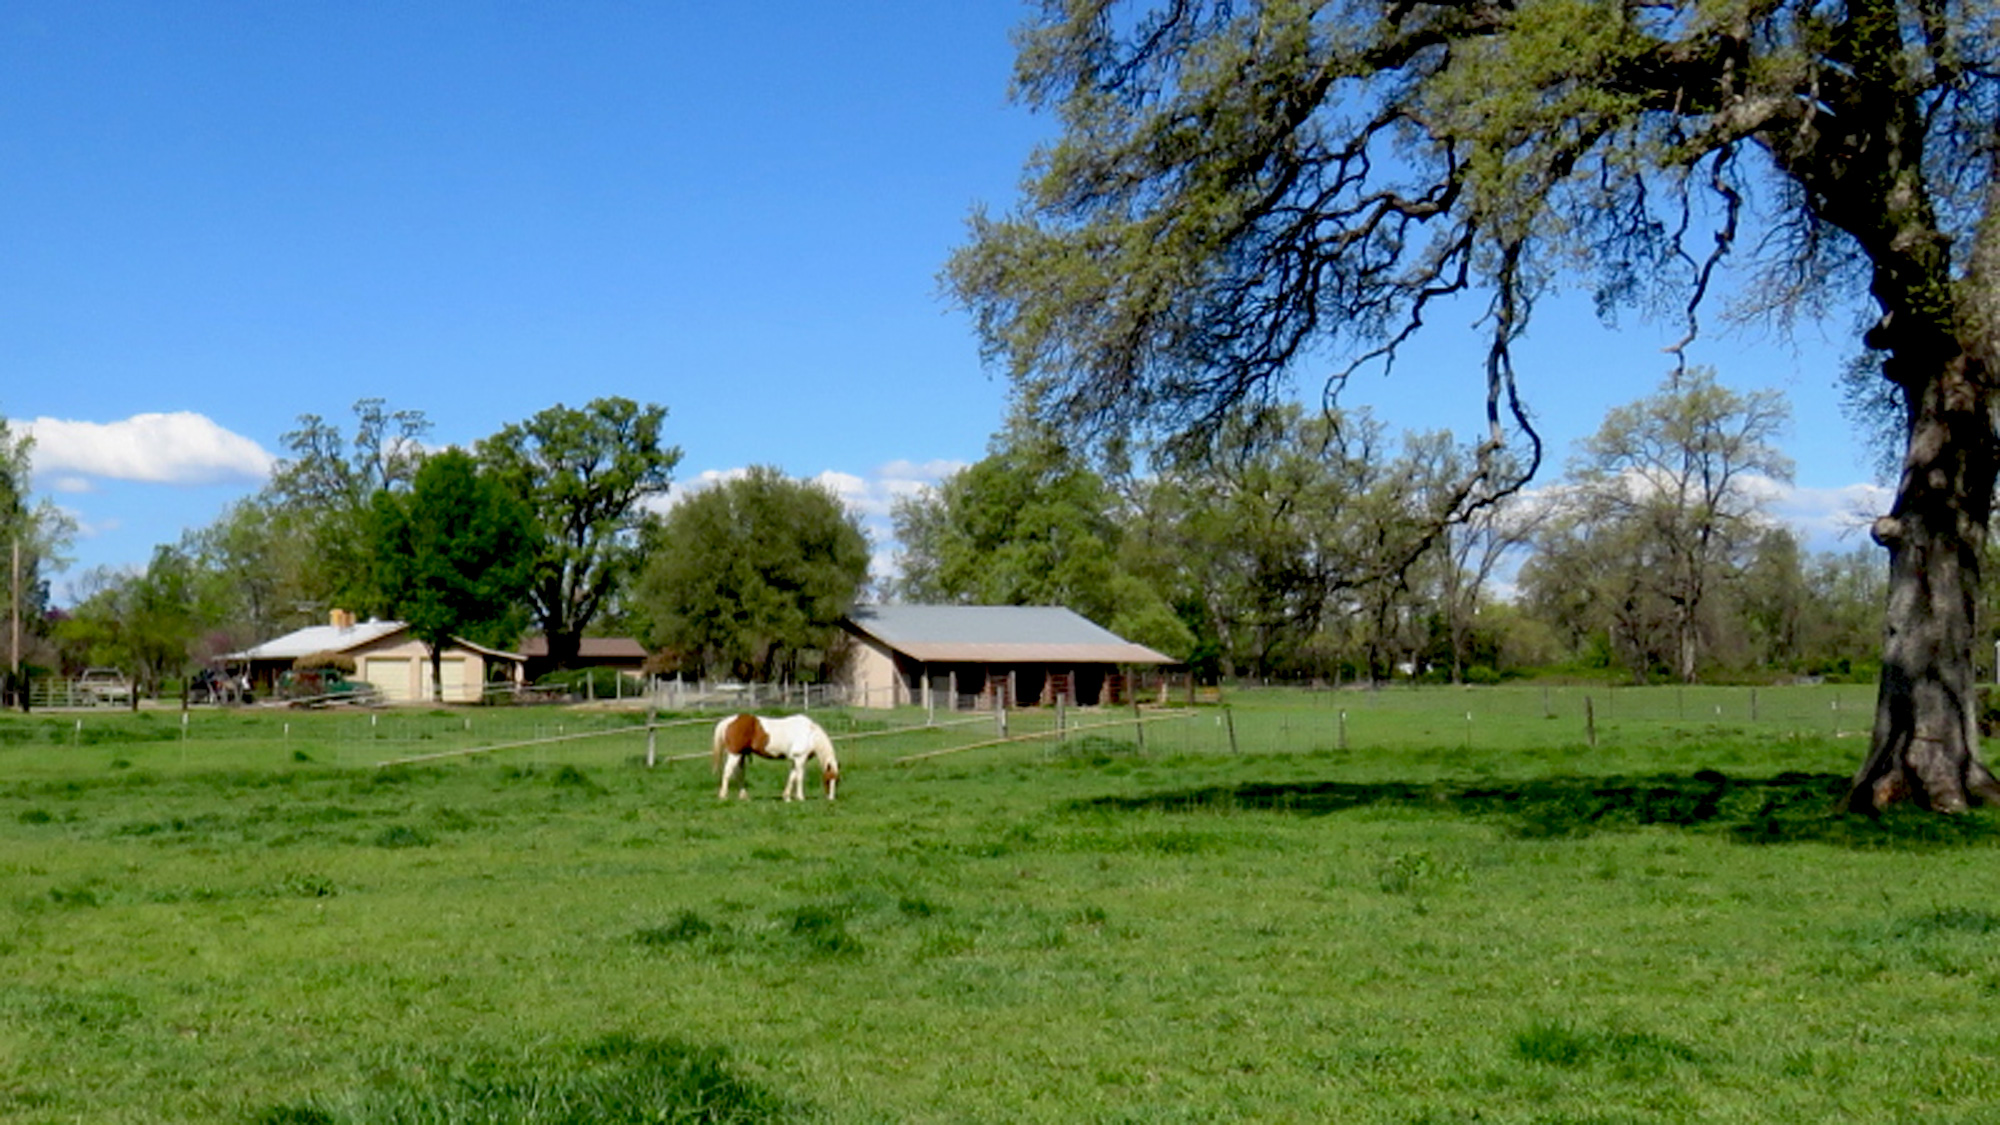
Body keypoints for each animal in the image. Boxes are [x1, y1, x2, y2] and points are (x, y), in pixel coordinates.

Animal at [708, 708, 840, 796]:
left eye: (837, 781)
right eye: (827, 780)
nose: (831, 799)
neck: (810, 734)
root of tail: (728, 720)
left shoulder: (795, 760)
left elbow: (792, 776)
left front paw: (787, 796)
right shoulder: (800, 759)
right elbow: (799, 777)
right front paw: (800, 797)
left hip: (741, 754)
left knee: (738, 773)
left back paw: (743, 796)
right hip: (735, 754)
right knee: (727, 772)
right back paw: (723, 795)